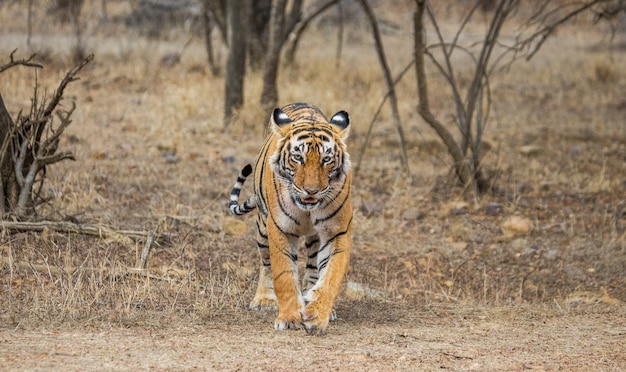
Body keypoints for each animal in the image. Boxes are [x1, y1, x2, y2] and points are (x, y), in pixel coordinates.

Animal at [227, 101, 352, 334]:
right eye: (298, 158)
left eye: (327, 160)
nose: (311, 191)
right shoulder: (280, 228)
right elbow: (283, 274)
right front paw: (289, 318)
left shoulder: (336, 232)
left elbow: (331, 276)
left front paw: (317, 314)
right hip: (262, 229)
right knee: (266, 264)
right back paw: (264, 299)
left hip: (313, 239)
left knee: (312, 268)